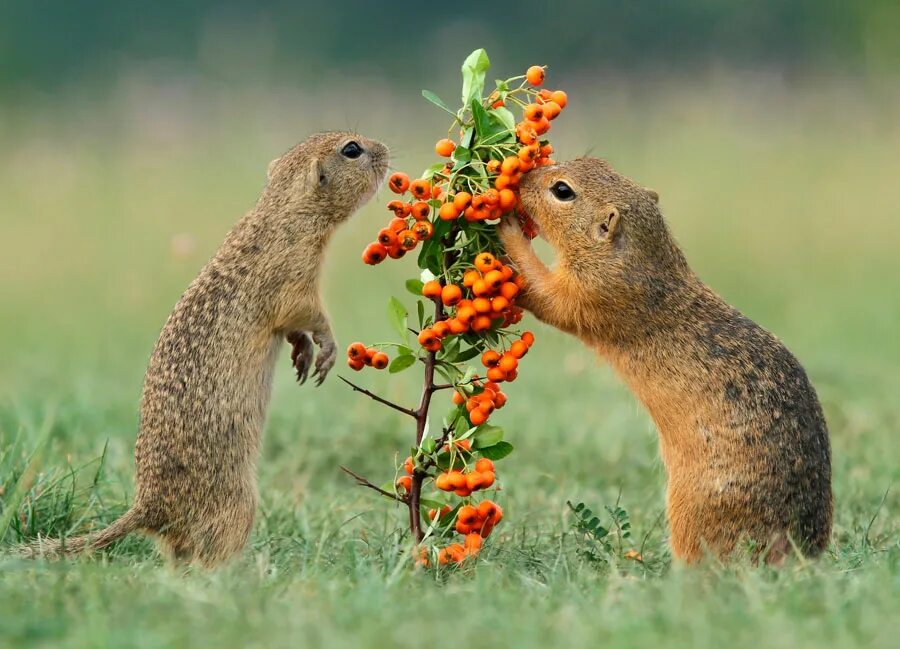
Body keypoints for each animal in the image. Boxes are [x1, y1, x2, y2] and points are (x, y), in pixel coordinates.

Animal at [27, 130, 386, 560]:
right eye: (351, 150)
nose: (385, 151)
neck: (283, 211)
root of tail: (148, 509)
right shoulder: (295, 274)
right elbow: (307, 313)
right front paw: (326, 350)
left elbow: (292, 329)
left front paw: (303, 354)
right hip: (239, 505)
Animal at [500, 157, 828, 560]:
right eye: (595, 161)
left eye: (563, 191)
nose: (521, 179)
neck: (647, 260)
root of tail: (800, 552)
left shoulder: (592, 292)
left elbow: (545, 293)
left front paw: (506, 230)